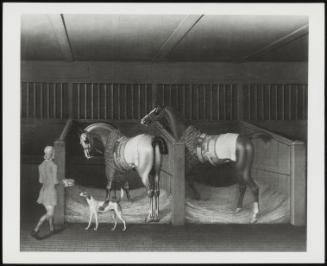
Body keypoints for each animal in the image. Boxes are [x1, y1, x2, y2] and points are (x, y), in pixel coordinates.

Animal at [142, 105, 272, 223]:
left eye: (156, 112)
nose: (143, 120)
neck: (188, 138)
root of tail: (247, 138)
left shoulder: (187, 168)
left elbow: (190, 182)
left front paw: (197, 197)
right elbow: (190, 182)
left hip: (242, 171)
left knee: (254, 188)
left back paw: (254, 216)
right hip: (240, 170)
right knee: (243, 187)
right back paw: (238, 208)